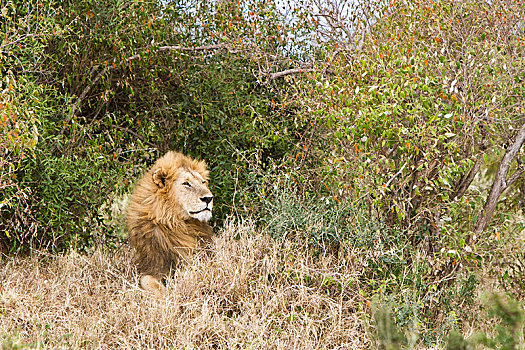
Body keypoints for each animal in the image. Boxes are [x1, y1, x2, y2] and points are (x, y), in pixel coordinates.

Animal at [126, 152, 214, 296]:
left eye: (203, 182)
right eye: (186, 184)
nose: (208, 198)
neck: (179, 224)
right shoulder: (154, 266)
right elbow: (146, 280)